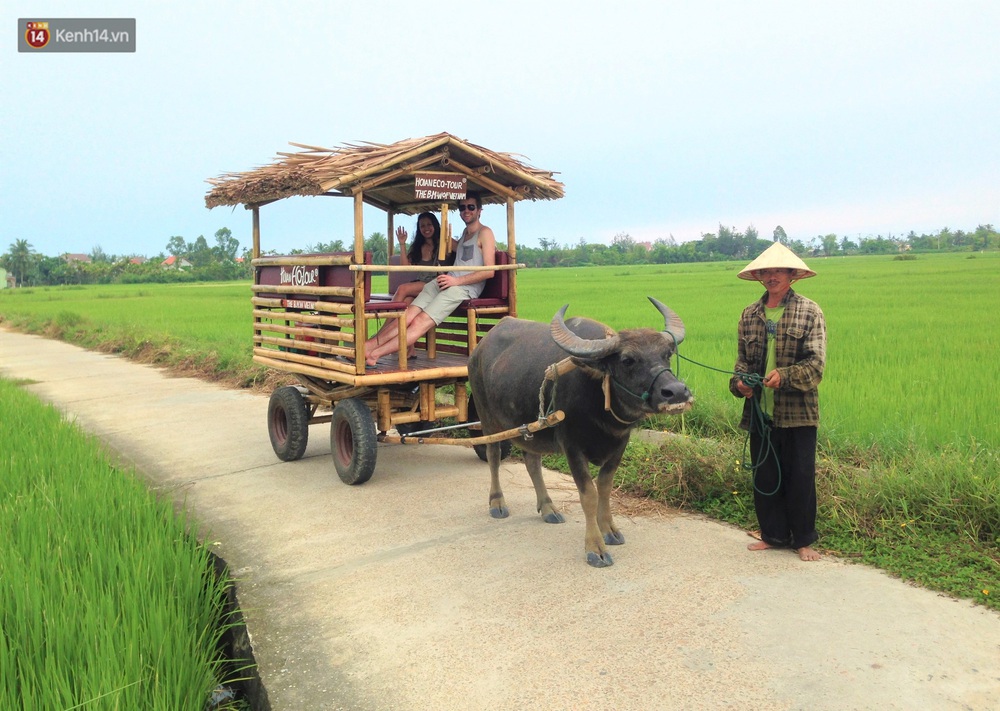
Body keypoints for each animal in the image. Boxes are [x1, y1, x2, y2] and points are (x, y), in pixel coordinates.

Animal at [466, 298, 688, 568]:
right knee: (494, 455)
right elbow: (589, 495)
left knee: (532, 463)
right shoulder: (572, 447)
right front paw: (595, 548)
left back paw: (548, 508)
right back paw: (498, 502)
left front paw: (610, 530)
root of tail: (479, 349)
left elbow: (605, 488)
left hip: (532, 427)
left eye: (666, 354)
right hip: (486, 417)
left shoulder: (619, 446)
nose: (676, 391)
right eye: (627, 360)